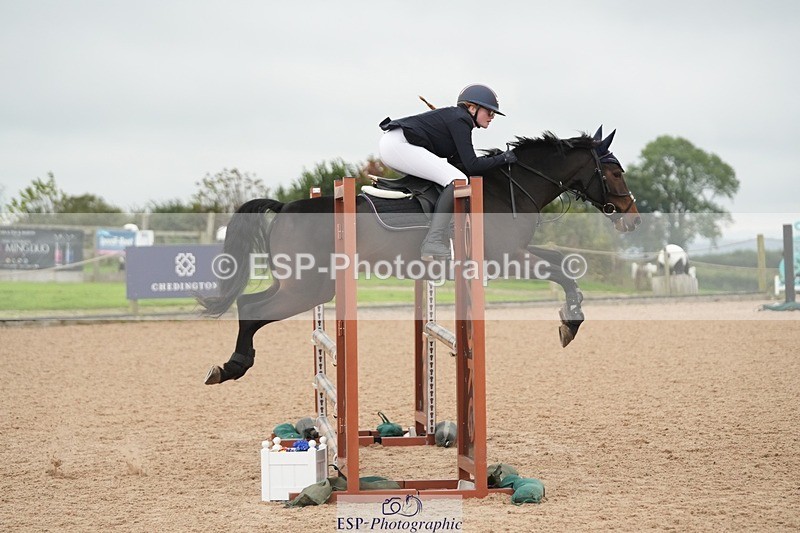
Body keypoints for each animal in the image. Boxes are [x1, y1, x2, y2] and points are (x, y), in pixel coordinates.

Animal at [199, 126, 640, 385]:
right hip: (309, 288)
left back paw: (230, 365)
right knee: (251, 308)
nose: (632, 218)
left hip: (299, 284)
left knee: (249, 302)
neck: (510, 187)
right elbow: (563, 271)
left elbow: (562, 264)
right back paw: (232, 366)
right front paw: (571, 323)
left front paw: (570, 316)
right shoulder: (506, 259)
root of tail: (285, 206)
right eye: (615, 172)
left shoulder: (517, 252)